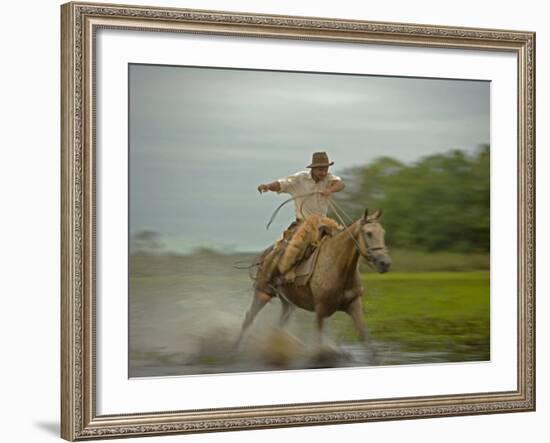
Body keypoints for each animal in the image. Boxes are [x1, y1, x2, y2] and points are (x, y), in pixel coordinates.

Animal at [236, 209, 392, 350]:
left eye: (383, 233)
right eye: (369, 233)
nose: (385, 263)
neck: (337, 267)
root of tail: (266, 254)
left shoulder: (354, 304)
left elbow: (366, 339)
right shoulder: (320, 310)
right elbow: (318, 343)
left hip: (288, 303)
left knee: (278, 326)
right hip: (263, 293)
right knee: (248, 319)